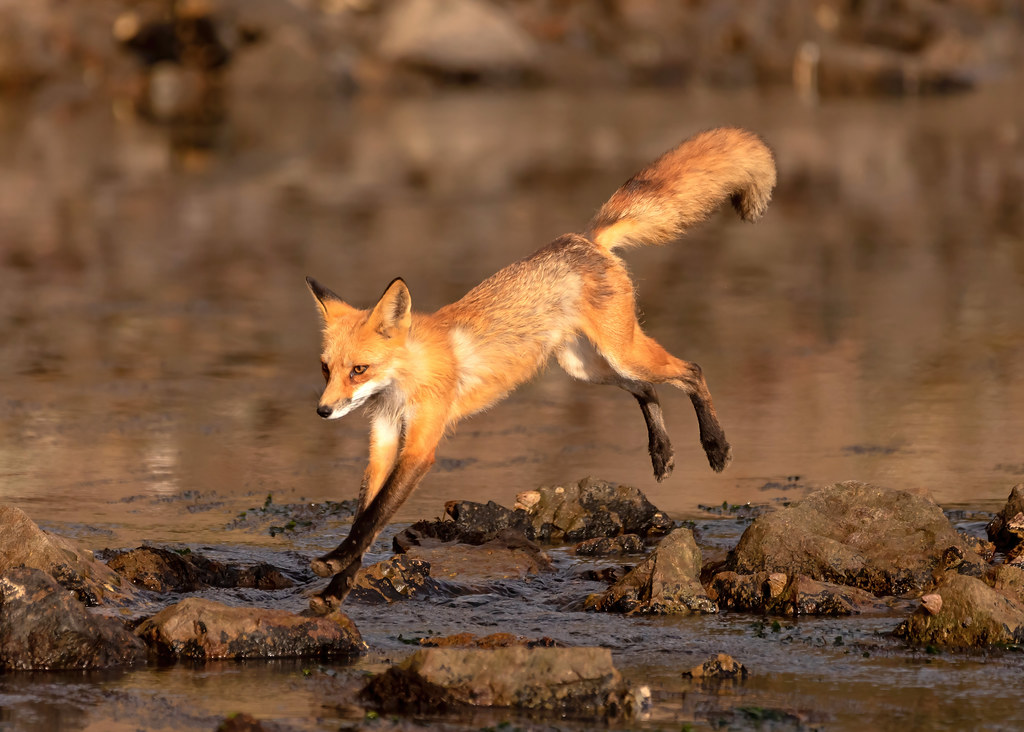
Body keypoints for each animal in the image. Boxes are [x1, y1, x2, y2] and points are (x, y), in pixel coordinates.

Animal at [304, 127, 776, 611]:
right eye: (326, 369)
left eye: (359, 369)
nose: (323, 411)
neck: (403, 383)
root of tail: (584, 238)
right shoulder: (382, 441)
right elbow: (365, 517)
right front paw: (336, 587)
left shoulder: (420, 446)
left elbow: (375, 515)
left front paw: (332, 565)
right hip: (587, 366)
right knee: (648, 390)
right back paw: (661, 452)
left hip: (621, 352)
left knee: (692, 370)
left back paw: (716, 446)